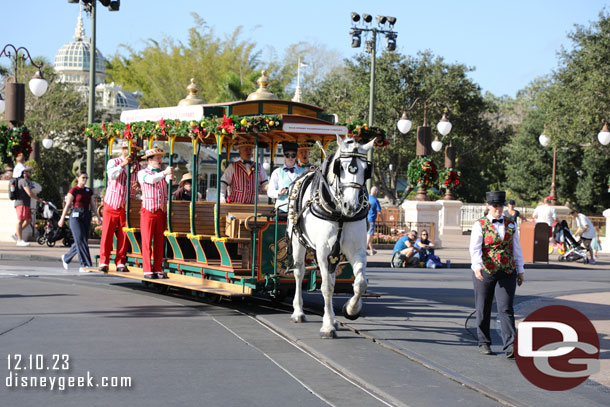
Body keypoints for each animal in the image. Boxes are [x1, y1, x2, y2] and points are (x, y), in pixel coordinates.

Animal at [288, 135, 372, 340]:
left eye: (366, 169)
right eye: (340, 167)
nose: (351, 205)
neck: (340, 213)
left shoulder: (355, 249)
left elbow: (360, 283)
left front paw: (351, 310)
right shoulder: (323, 251)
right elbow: (326, 287)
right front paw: (327, 327)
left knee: (332, 277)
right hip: (297, 242)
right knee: (299, 272)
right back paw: (298, 312)